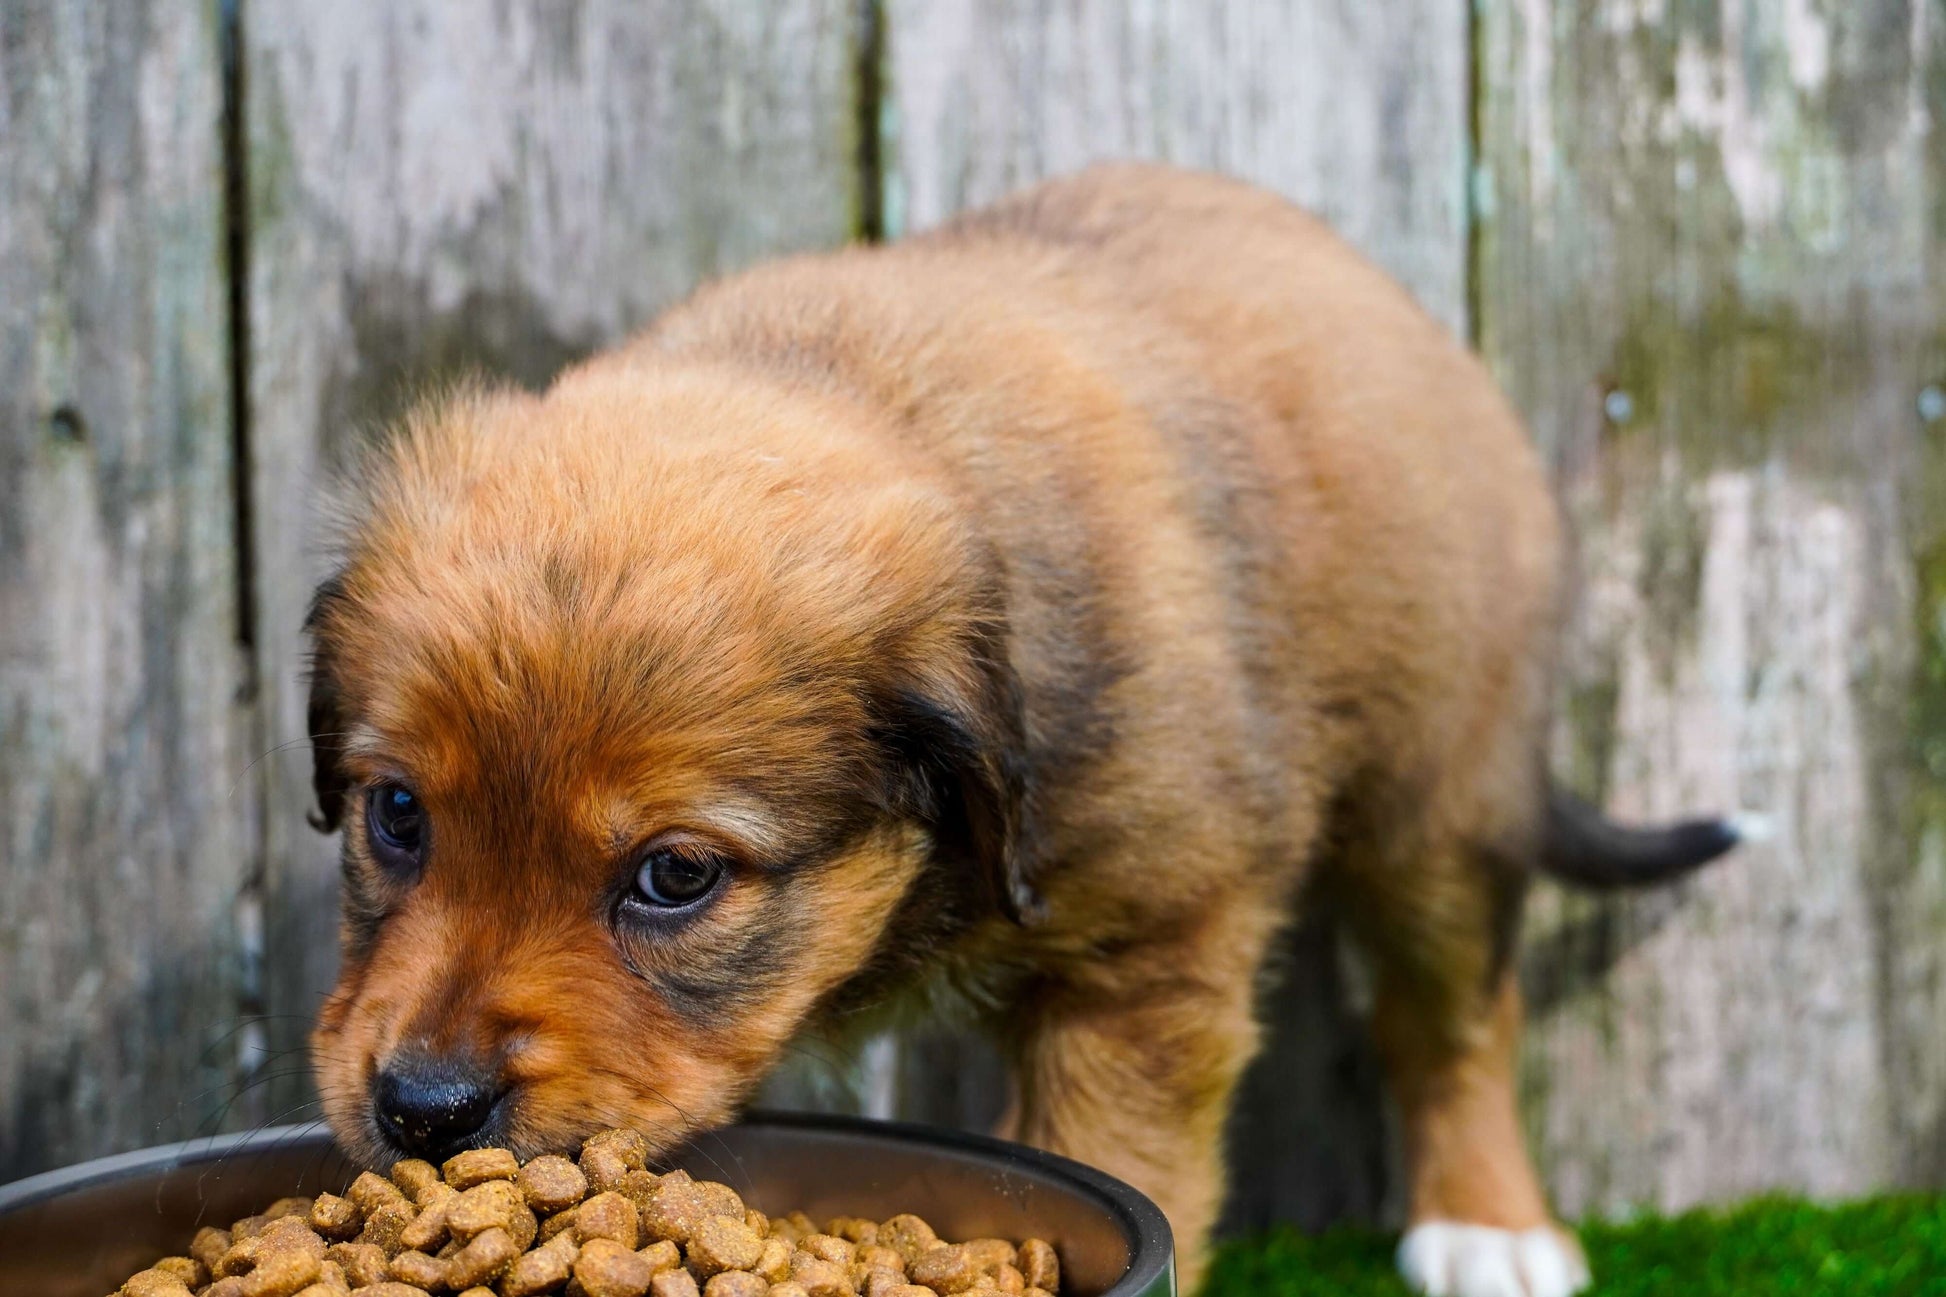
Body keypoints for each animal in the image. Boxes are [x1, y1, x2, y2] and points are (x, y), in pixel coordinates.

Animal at [303, 164, 1735, 1293]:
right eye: (397, 813)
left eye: (674, 877)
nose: (422, 1112)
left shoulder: (1151, 958)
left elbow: (1115, 1155)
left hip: (1439, 798)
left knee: (1452, 1017)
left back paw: (1488, 1228)